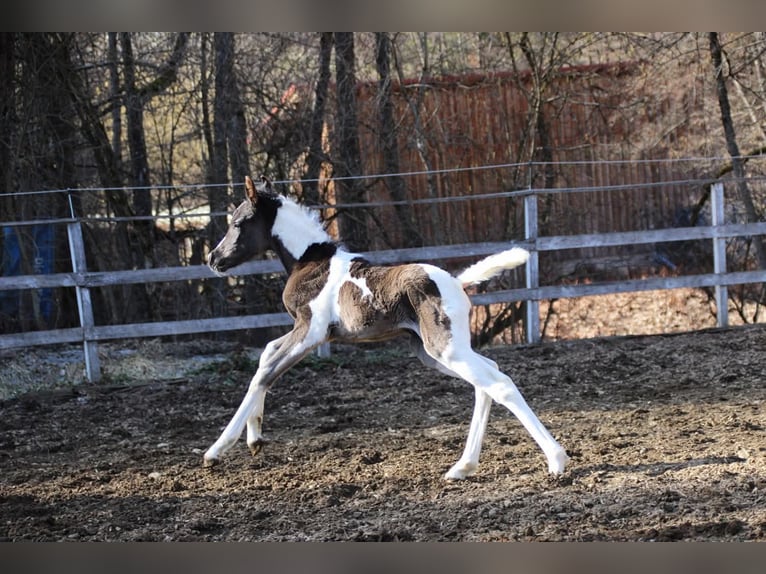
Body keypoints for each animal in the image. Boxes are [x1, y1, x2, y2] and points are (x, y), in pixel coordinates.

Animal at [203, 175, 569, 480]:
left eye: (238, 222)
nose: (213, 259)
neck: (311, 262)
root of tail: (456, 282)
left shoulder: (312, 330)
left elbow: (265, 374)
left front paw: (217, 450)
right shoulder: (303, 329)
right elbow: (266, 355)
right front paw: (255, 438)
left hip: (445, 349)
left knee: (500, 384)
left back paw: (556, 460)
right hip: (433, 351)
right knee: (488, 379)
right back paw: (463, 467)